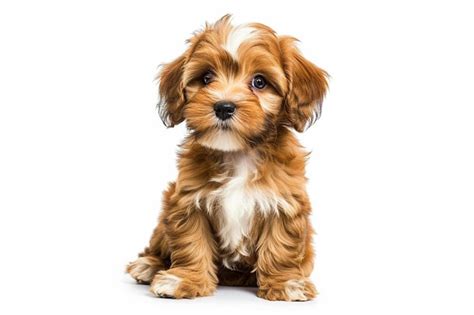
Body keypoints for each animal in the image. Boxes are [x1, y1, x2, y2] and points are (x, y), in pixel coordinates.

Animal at [127, 16, 330, 302]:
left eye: (259, 82)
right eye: (206, 78)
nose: (223, 106)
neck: (239, 153)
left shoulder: (284, 202)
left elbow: (281, 245)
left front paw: (286, 283)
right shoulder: (188, 201)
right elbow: (191, 242)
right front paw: (184, 279)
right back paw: (148, 265)